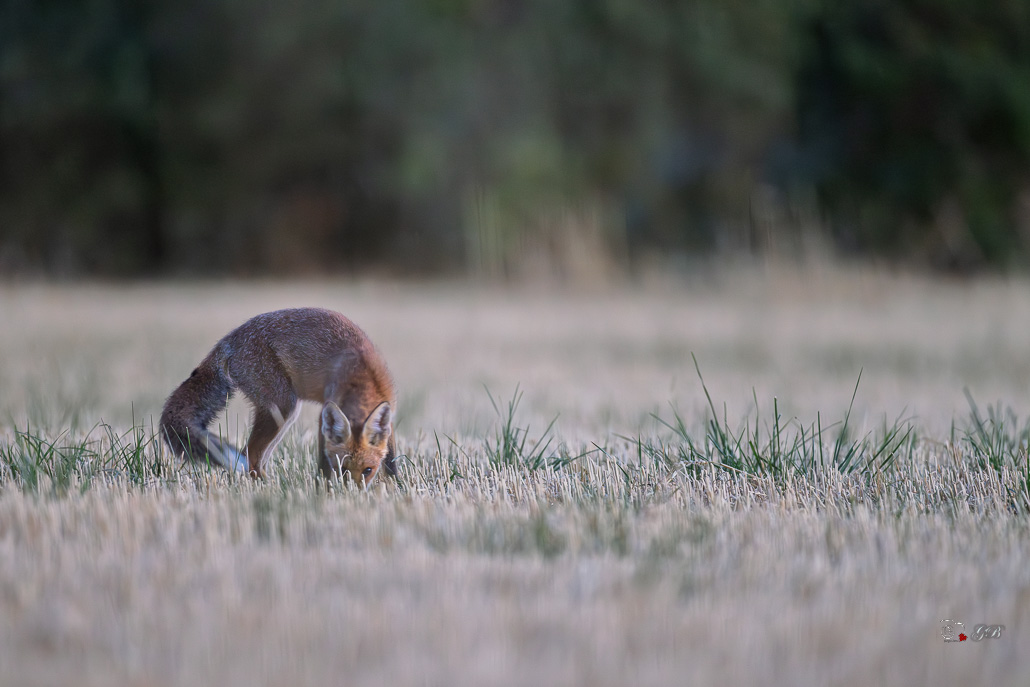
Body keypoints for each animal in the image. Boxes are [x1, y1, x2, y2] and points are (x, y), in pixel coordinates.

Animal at [160, 307, 397, 485]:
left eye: (368, 470)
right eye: (343, 469)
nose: (353, 492)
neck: (361, 375)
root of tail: (229, 339)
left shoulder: (389, 418)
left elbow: (392, 461)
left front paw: (396, 486)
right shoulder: (324, 417)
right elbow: (323, 463)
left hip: (284, 416)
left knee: (256, 458)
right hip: (282, 408)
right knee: (249, 454)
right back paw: (266, 488)